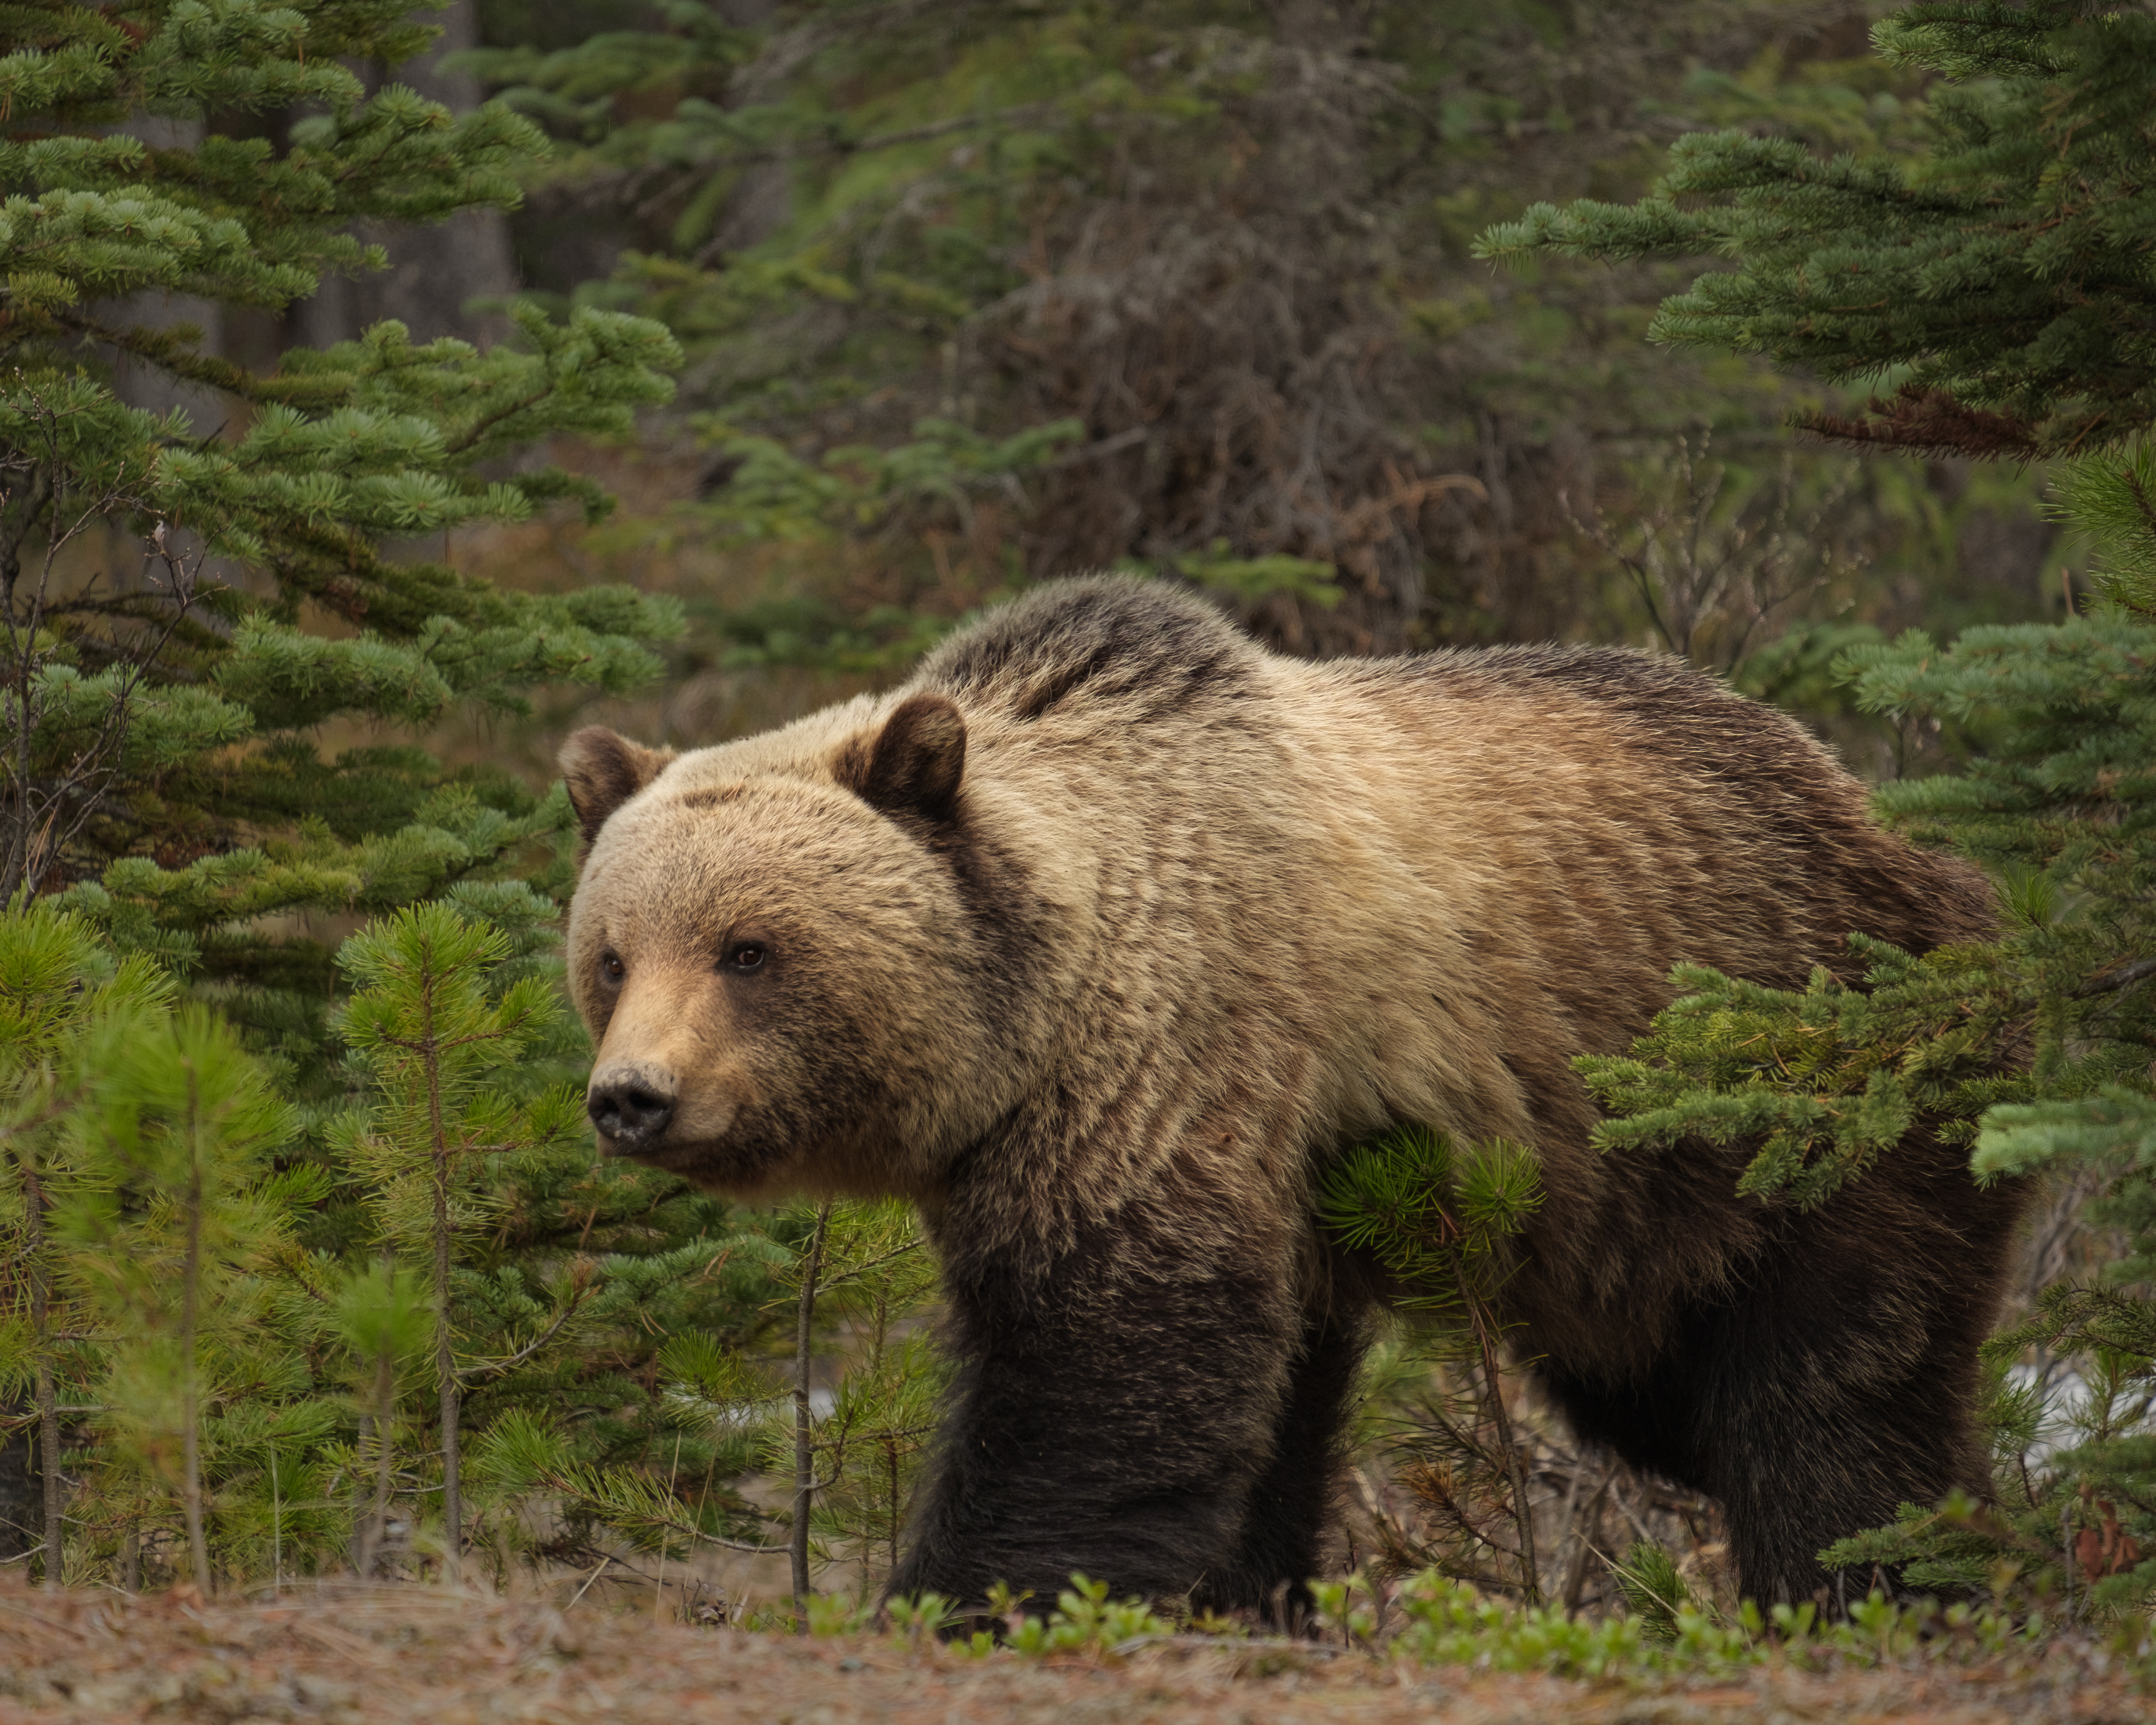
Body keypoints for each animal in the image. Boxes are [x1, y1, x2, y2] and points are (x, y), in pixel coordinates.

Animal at [558, 574, 2022, 1617]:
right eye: (612, 954)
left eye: (750, 950)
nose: (631, 1097)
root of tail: (1895, 834)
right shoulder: (1281, 1169)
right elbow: (1254, 1409)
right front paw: (1242, 1600)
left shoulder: (1174, 1054)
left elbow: (1098, 1367)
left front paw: (961, 1601)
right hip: (1622, 1228)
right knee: (1678, 1401)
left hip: (1803, 1107)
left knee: (1826, 1395)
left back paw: (1877, 1587)